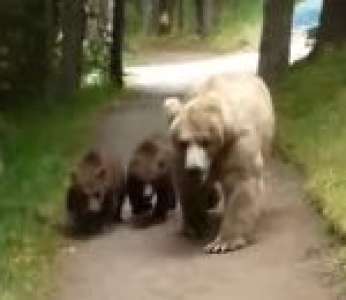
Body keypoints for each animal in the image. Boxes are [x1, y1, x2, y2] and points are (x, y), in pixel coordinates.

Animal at [164, 72, 274, 253]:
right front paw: (196, 227)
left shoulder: (238, 142)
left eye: (205, 141)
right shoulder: (181, 156)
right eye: (183, 142)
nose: (194, 168)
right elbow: (187, 185)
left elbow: (240, 181)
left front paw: (222, 243)